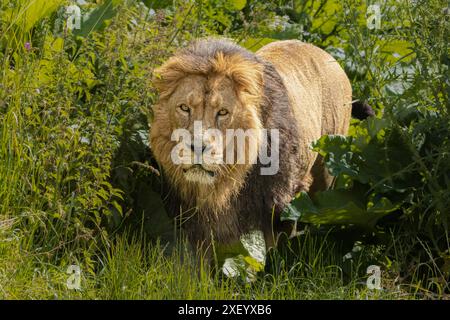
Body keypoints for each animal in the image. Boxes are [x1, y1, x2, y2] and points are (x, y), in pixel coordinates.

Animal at [149, 38, 368, 258]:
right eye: (184, 108)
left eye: (223, 112)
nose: (198, 147)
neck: (227, 183)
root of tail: (327, 55)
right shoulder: (195, 220)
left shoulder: (279, 208)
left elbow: (275, 257)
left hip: (326, 173)